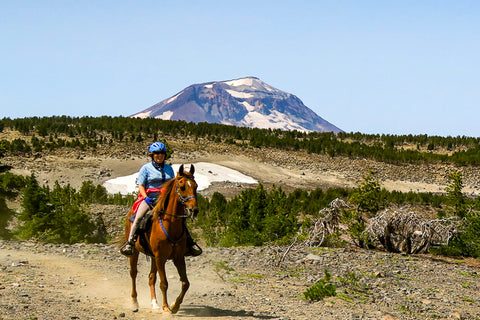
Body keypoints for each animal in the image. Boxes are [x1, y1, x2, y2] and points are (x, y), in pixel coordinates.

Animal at [124, 164, 200, 314]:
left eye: (196, 186)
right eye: (182, 186)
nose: (193, 210)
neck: (170, 224)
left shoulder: (178, 257)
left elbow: (185, 283)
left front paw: (174, 306)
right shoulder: (160, 257)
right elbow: (164, 283)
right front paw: (166, 307)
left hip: (153, 257)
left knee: (151, 277)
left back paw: (154, 303)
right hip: (136, 253)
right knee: (133, 274)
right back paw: (135, 303)